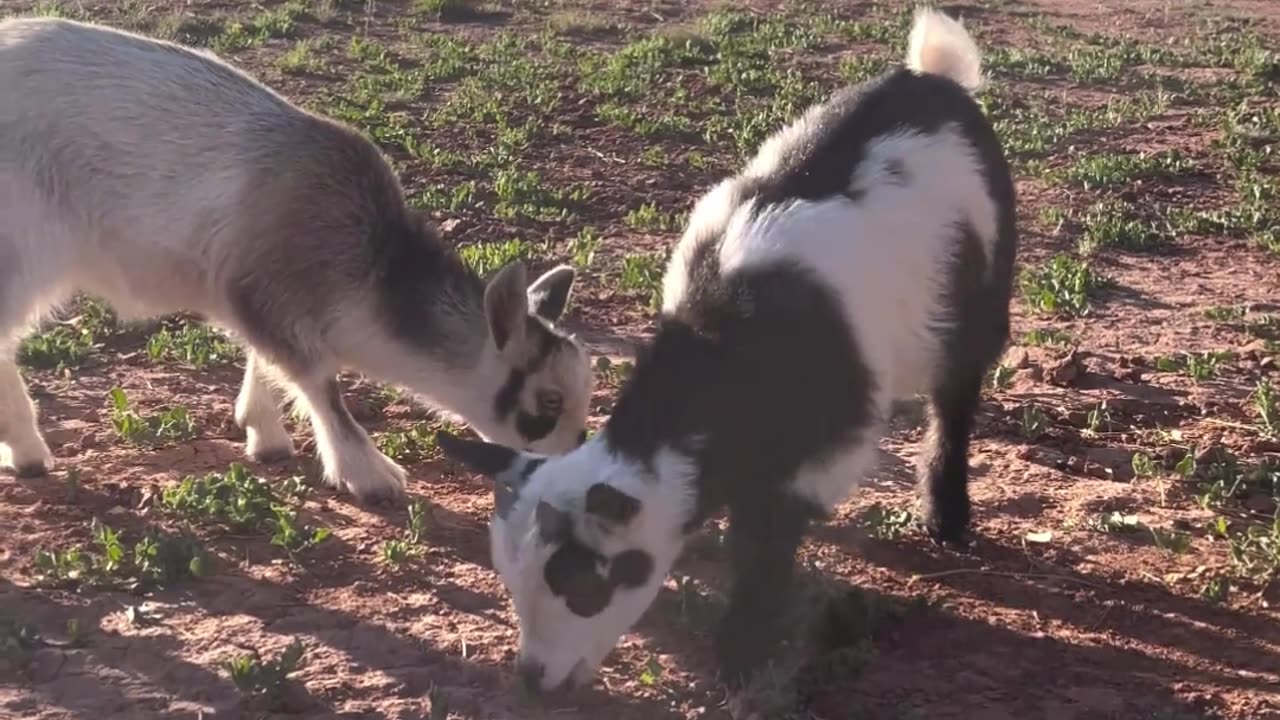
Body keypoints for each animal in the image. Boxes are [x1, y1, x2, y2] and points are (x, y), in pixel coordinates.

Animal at [0, 18, 593, 499]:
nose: (572, 472)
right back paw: (28, 453)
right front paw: (370, 475)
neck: (370, 267)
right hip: (23, 250)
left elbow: (268, 363)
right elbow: (320, 384)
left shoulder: (251, 301)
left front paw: (264, 435)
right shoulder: (265, 295)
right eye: (549, 402)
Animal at [435, 4, 1013, 691]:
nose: (533, 677)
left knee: (955, 398)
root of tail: (935, 78)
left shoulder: (818, 450)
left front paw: (742, 651)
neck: (721, 352)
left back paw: (946, 519)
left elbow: (766, 541)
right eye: (511, 578)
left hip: (979, 297)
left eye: (583, 587)